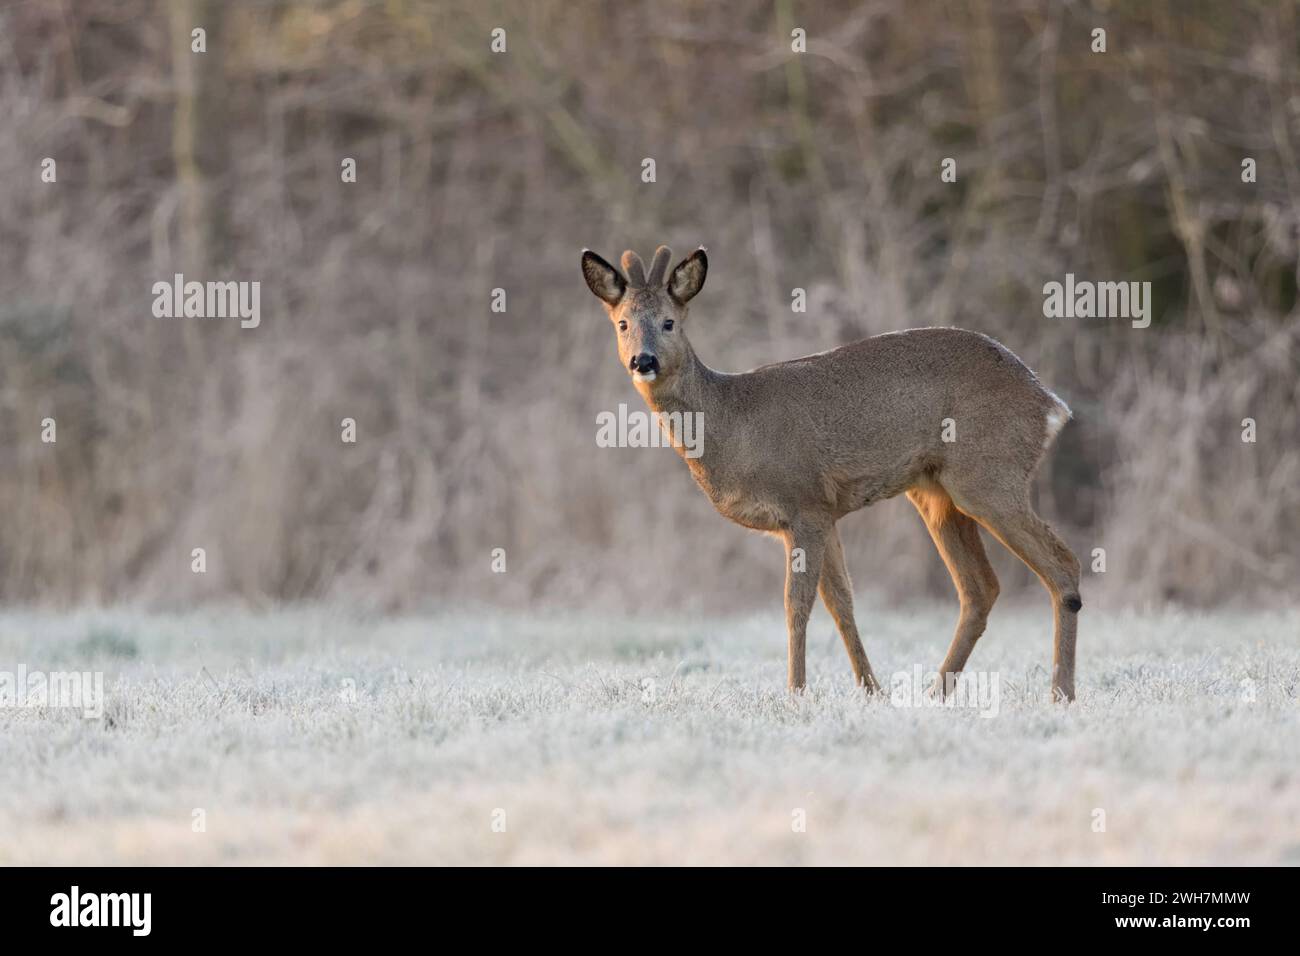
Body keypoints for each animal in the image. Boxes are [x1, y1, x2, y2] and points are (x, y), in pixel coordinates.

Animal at [585, 244, 1081, 702]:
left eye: (670, 322)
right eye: (623, 324)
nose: (643, 361)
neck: (733, 423)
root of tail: (1049, 403)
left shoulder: (803, 503)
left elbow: (797, 606)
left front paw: (796, 692)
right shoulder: (823, 514)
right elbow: (842, 604)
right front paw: (871, 690)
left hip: (988, 475)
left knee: (1062, 563)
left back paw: (1061, 694)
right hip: (936, 493)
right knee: (981, 588)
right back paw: (934, 693)